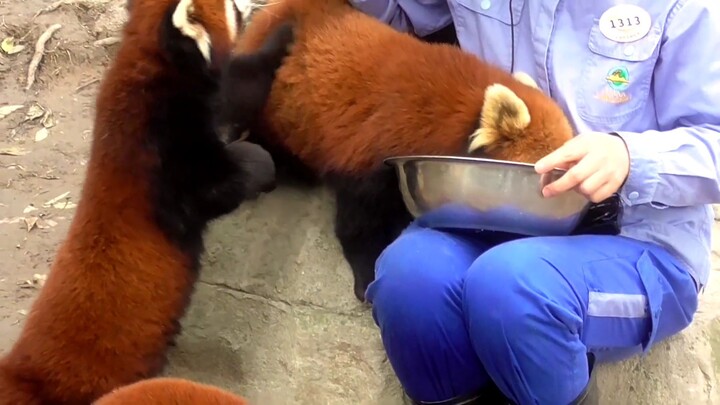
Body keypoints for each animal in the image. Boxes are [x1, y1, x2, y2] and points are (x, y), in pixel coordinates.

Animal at [0, 0, 296, 400]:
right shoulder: (161, 151)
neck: (149, 66)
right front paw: (262, 164)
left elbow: (242, 84)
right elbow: (214, 189)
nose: (251, 4)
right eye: (233, 7)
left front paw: (286, 33)